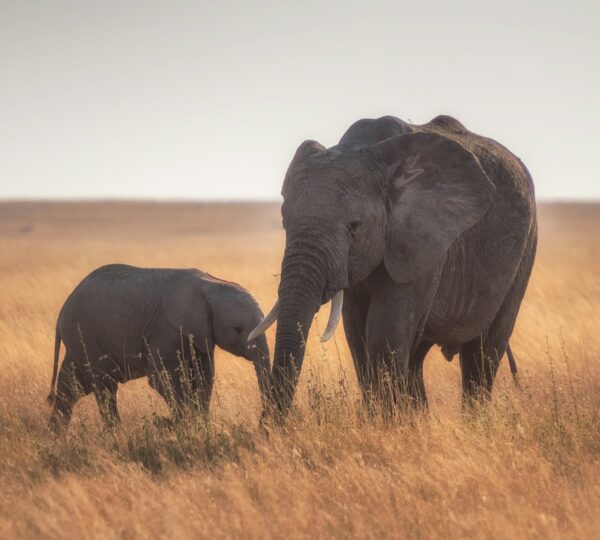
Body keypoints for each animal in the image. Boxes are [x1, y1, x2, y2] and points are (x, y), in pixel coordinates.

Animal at [48, 264, 270, 428]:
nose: (262, 425)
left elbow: (204, 377)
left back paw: (56, 436)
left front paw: (201, 426)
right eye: (237, 329)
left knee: (71, 387)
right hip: (86, 337)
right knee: (105, 386)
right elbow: (161, 377)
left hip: (80, 341)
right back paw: (116, 433)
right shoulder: (167, 329)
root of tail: (62, 311)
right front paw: (183, 426)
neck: (212, 284)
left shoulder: (201, 335)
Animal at [251, 116, 536, 416]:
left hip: (525, 249)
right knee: (417, 357)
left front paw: (387, 423)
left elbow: (385, 333)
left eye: (354, 226)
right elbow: (358, 336)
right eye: (285, 223)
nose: (271, 424)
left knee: (483, 353)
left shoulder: (422, 240)